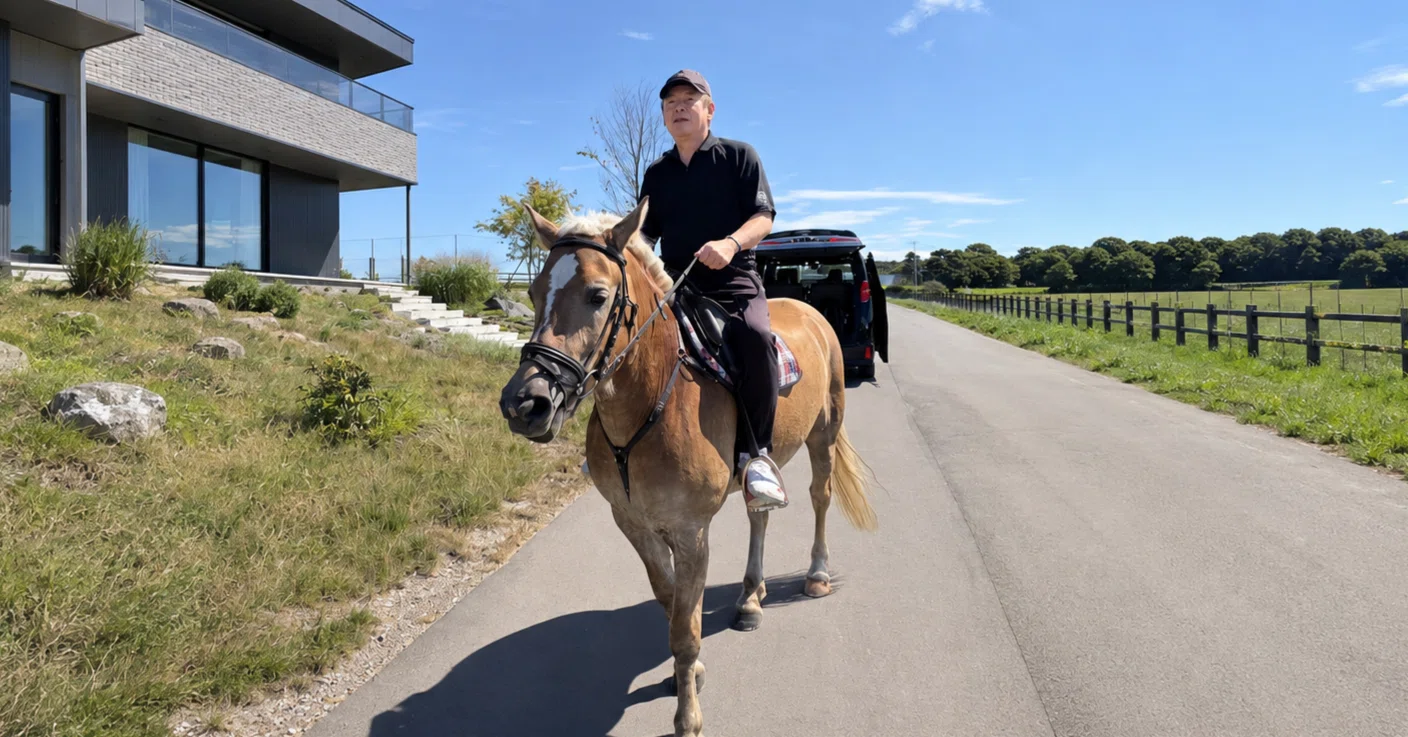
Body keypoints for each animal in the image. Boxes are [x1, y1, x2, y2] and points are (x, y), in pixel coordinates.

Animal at [498, 197, 877, 737]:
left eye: (597, 295)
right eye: (532, 292)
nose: (524, 404)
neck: (656, 397)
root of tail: (809, 310)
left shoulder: (691, 531)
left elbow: (686, 628)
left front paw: (688, 714)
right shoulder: (635, 525)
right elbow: (671, 602)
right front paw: (689, 673)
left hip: (824, 432)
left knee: (819, 498)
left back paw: (817, 574)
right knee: (759, 515)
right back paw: (750, 598)